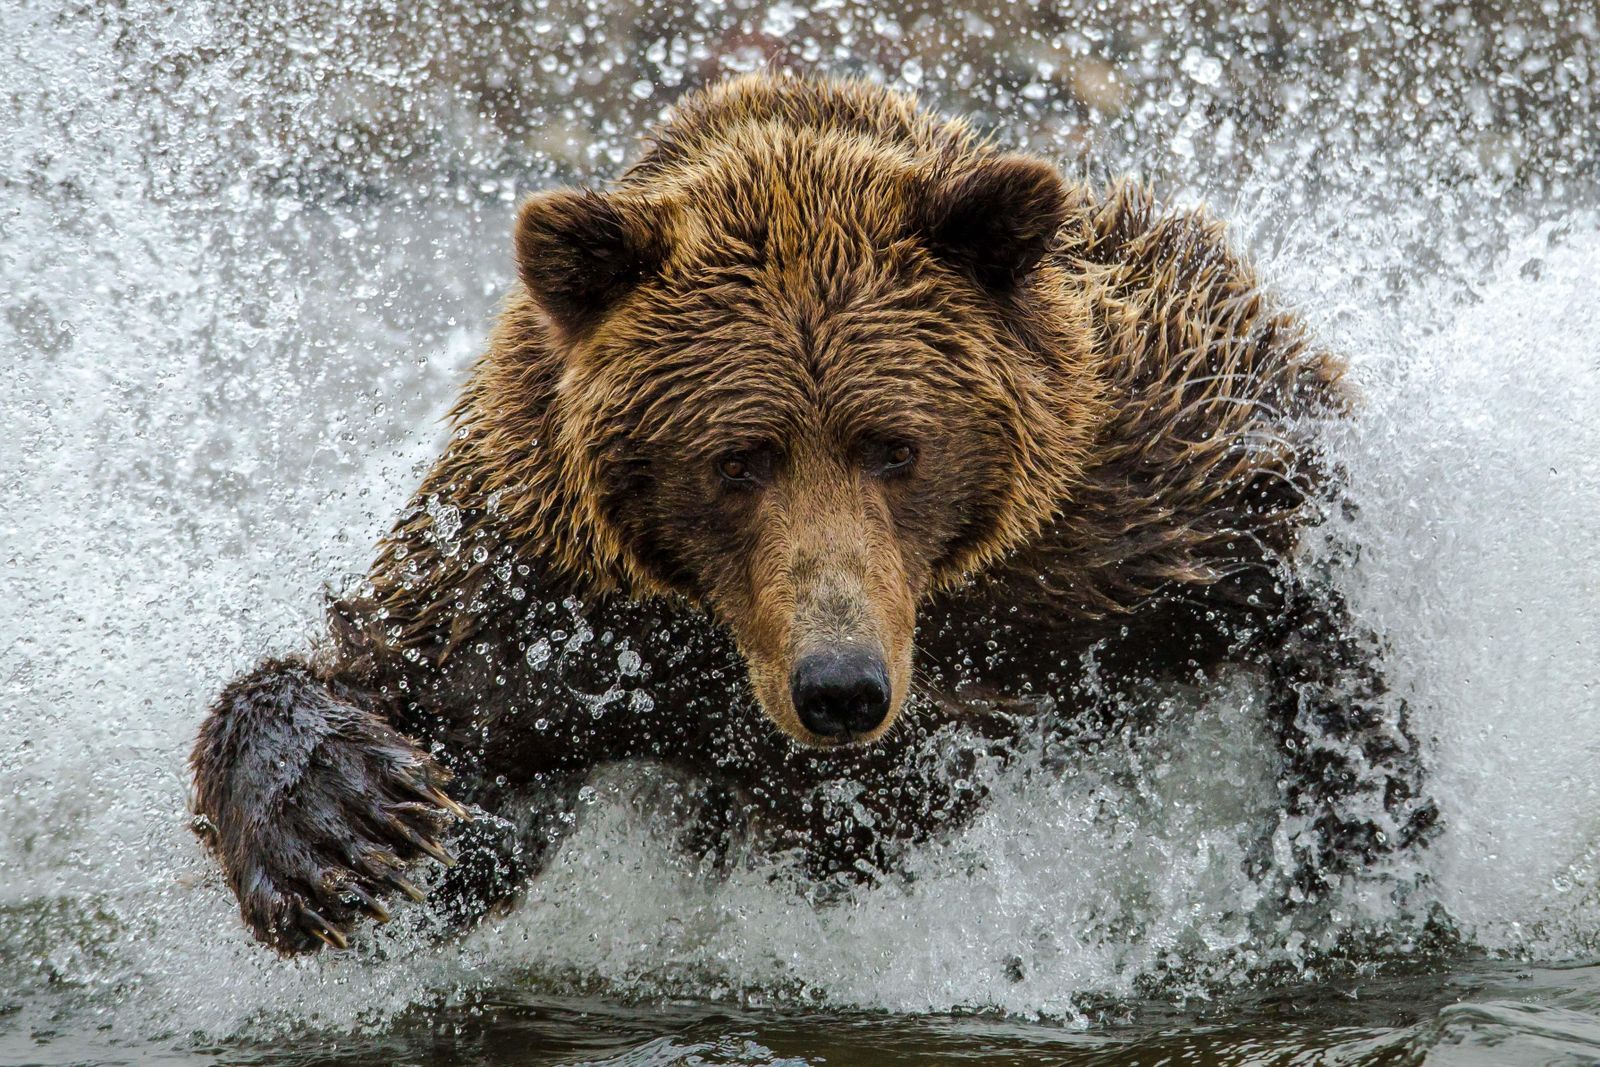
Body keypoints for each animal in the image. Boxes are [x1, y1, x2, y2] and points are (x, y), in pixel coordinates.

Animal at [190, 75, 1440, 959]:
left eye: (897, 444)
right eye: (736, 458)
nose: (841, 684)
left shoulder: (1136, 492)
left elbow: (1301, 574)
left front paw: (1352, 840)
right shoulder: (552, 601)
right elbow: (428, 722)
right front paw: (341, 826)